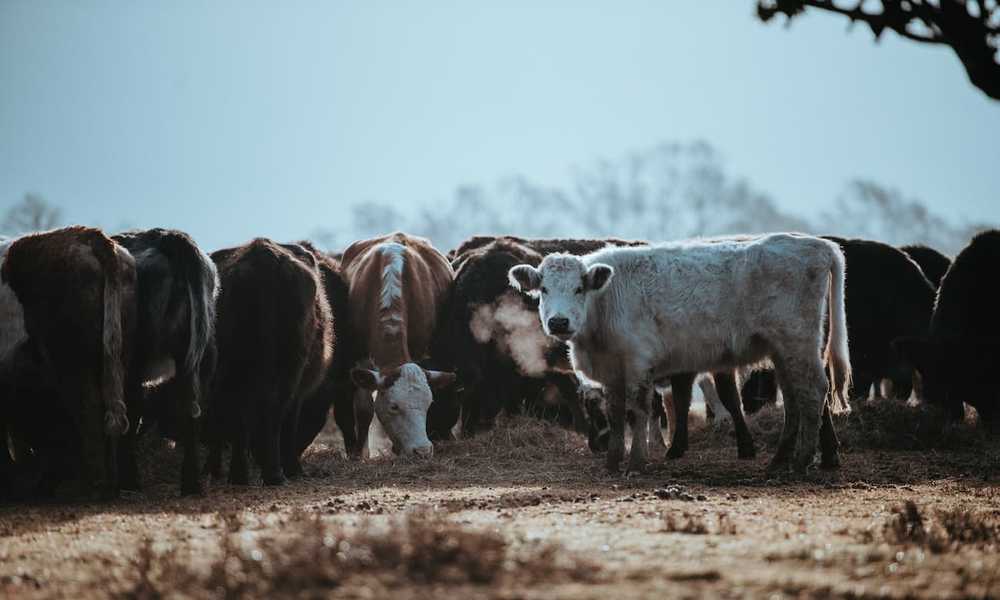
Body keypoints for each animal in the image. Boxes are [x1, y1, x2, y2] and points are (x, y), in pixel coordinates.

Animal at [205, 237, 334, 486]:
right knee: (270, 411)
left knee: (246, 411)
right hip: (288, 366)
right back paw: (273, 473)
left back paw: (243, 474)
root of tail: (265, 258)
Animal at [342, 232, 456, 458]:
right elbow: (364, 409)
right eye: (394, 407)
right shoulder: (360, 356)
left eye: (428, 404)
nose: (422, 450)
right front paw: (358, 454)